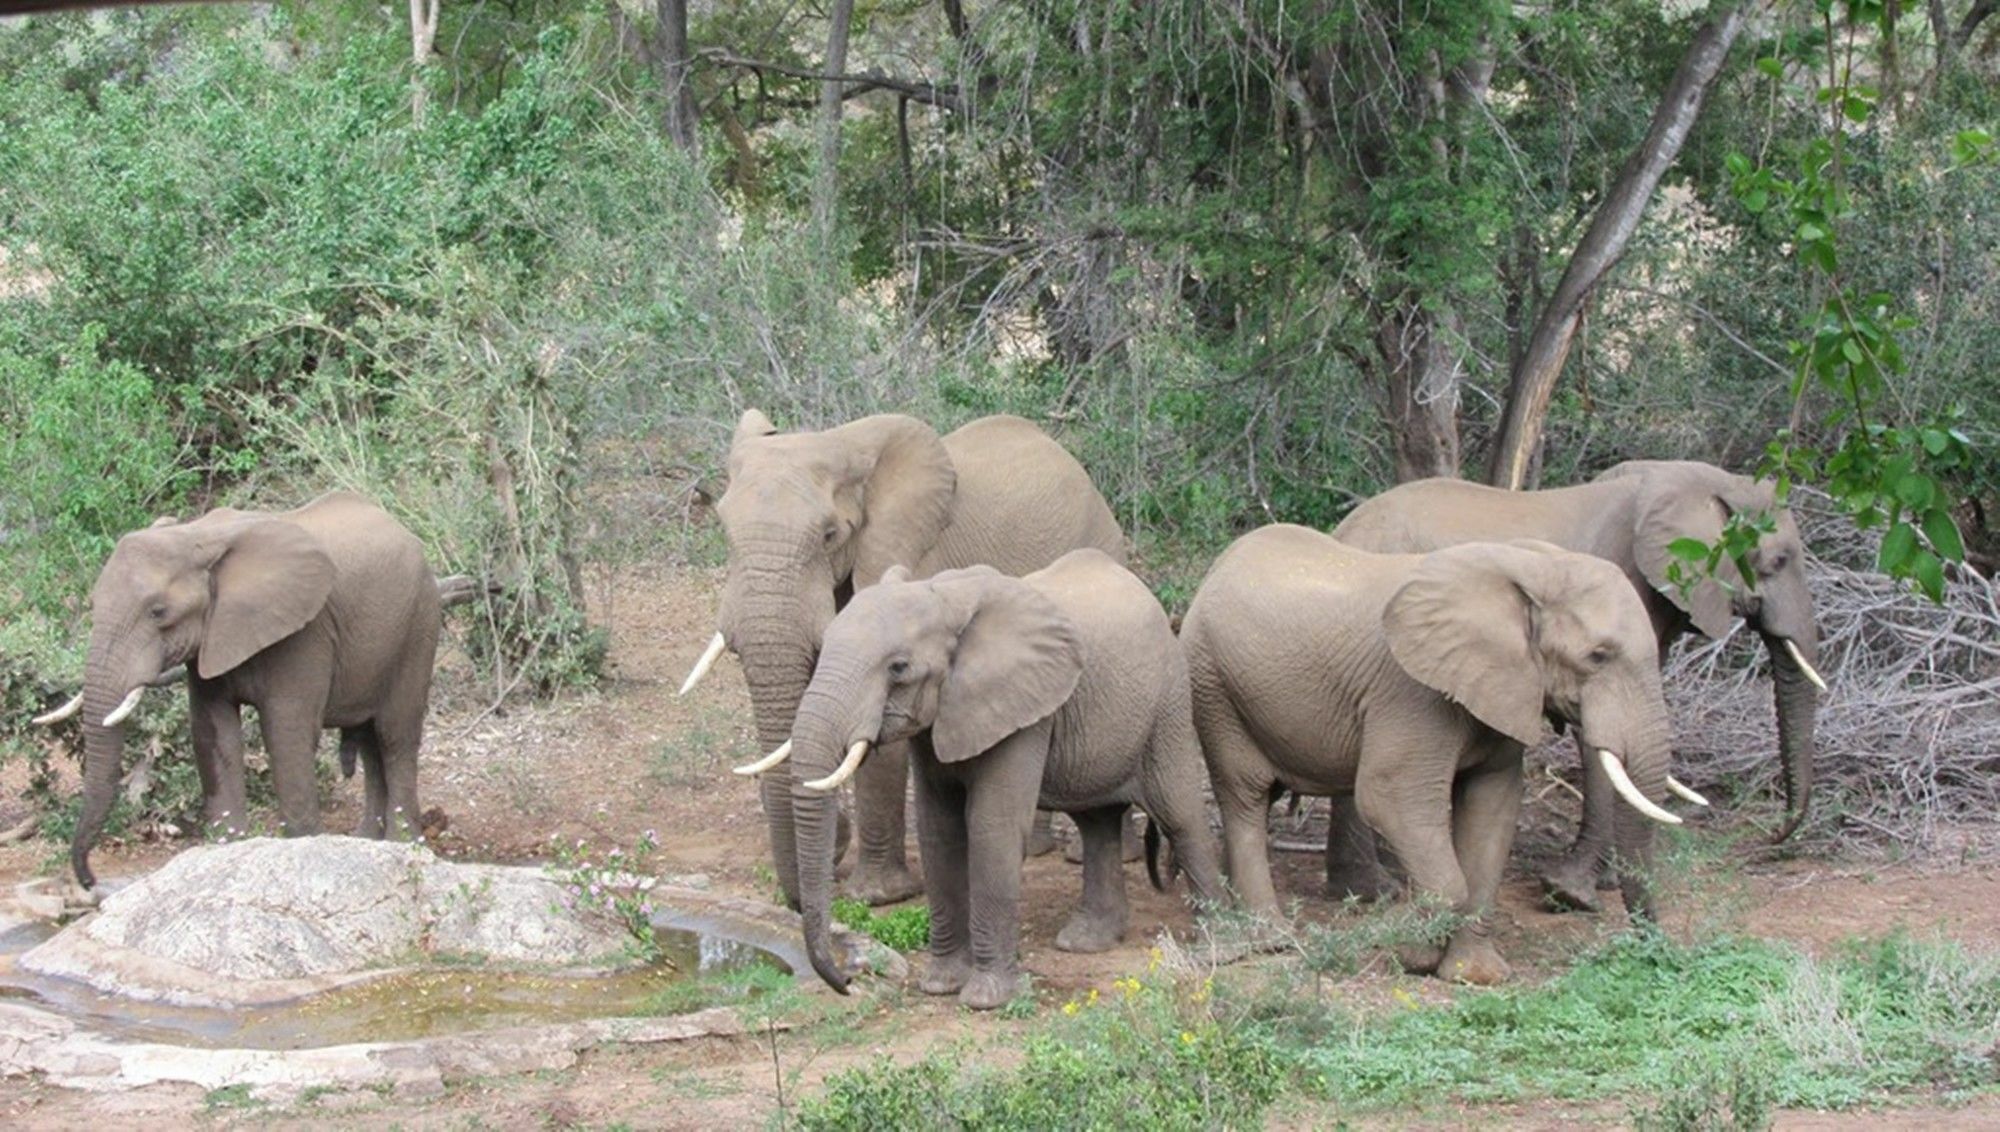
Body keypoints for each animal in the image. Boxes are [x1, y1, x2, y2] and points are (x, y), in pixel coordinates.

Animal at [34, 492, 442, 892]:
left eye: (158, 611)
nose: (89, 881)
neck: (197, 535)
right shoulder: (211, 639)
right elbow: (213, 734)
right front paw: (226, 851)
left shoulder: (305, 630)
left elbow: (286, 733)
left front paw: (303, 847)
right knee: (372, 741)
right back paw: (369, 842)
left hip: (419, 624)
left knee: (394, 736)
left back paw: (404, 844)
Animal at [680, 410, 1128, 916]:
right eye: (724, 531)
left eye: (829, 535)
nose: (834, 849)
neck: (846, 445)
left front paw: (876, 896)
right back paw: (1036, 849)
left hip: (1100, 548)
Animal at [760, 552, 1224, 1012]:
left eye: (899, 668)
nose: (846, 980)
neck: (943, 597)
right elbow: (939, 830)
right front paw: (941, 985)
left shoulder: (1021, 709)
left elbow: (991, 826)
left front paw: (985, 999)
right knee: (1096, 822)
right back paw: (1085, 942)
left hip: (1168, 703)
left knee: (1179, 813)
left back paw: (1221, 945)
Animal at [1176, 532, 1696, 984]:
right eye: (1598, 656)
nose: (1651, 944)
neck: (1529, 565)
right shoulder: (1411, 690)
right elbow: (1390, 798)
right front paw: (1414, 952)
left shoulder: (1499, 688)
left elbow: (1491, 812)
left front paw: (1476, 975)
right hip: (1214, 683)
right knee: (1245, 795)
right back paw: (1271, 939)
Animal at [1328, 462, 1832, 916]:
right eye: (1779, 560)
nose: (1771, 837)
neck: (1711, 480)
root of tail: (1345, 528)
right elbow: (1600, 738)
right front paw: (1572, 894)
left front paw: (1598, 883)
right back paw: (1374, 892)